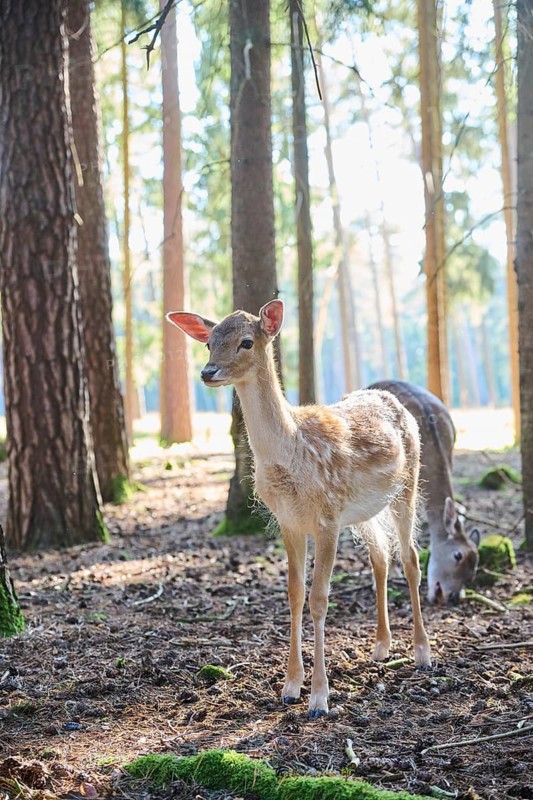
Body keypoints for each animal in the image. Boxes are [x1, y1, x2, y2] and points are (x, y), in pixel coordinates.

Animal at [168, 300, 431, 718]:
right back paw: (380, 647)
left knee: (410, 558)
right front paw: (290, 687)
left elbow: (319, 599)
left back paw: (422, 653)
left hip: (408, 484)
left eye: (246, 341)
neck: (291, 453)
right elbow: (294, 593)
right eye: (209, 342)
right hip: (364, 510)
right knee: (380, 557)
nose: (208, 372)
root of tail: (393, 401)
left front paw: (320, 698)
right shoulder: (289, 522)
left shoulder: (326, 518)